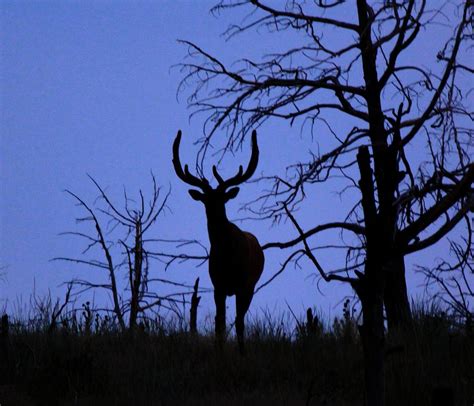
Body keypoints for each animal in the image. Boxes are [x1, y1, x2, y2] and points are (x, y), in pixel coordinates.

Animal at [172, 130, 264, 352]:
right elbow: (219, 322)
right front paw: (219, 351)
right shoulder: (218, 285)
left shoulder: (242, 284)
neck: (227, 253)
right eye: (205, 200)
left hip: (251, 286)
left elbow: (238, 323)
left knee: (240, 320)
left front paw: (241, 354)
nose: (214, 216)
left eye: (223, 199)